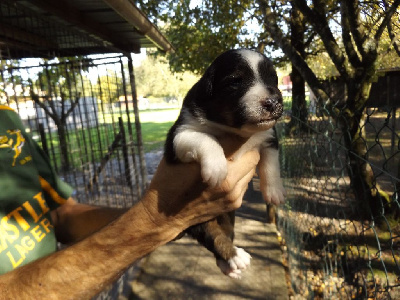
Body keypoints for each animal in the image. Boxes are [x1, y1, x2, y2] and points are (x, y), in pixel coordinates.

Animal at [164, 49, 286, 278]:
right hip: (198, 220)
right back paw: (235, 256)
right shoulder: (181, 133)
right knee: (213, 235)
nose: (273, 102)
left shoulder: (268, 136)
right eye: (235, 82)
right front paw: (217, 169)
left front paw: (274, 192)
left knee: (224, 233)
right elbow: (206, 138)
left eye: (272, 79)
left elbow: (271, 163)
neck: (235, 130)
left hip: (228, 216)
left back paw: (230, 264)